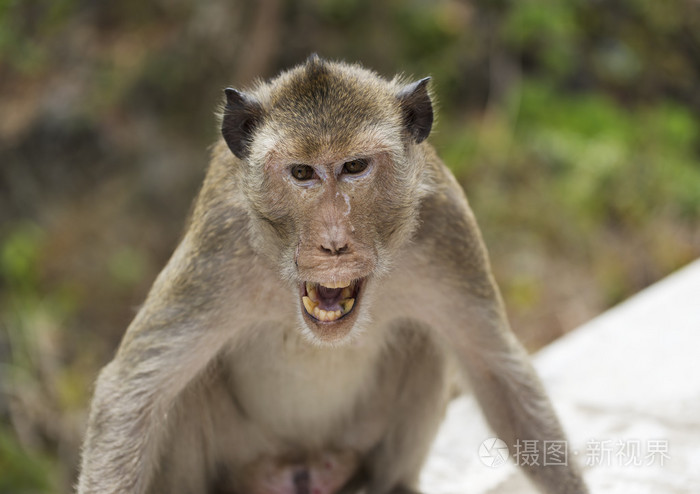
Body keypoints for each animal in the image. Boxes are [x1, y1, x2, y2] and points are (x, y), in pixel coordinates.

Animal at [76, 55, 588, 494]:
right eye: (302, 173)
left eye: (355, 166)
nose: (334, 241)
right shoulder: (216, 248)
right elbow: (133, 394)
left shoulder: (447, 228)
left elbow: (496, 372)